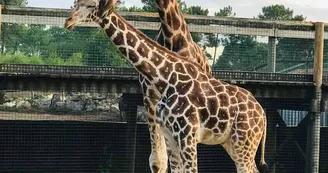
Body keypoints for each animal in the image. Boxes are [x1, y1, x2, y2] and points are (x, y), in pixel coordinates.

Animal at [64, 0, 270, 173]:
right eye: (75, 2)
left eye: (90, 5)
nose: (68, 21)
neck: (166, 77)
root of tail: (263, 114)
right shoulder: (170, 134)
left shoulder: (187, 135)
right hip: (232, 144)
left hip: (244, 143)